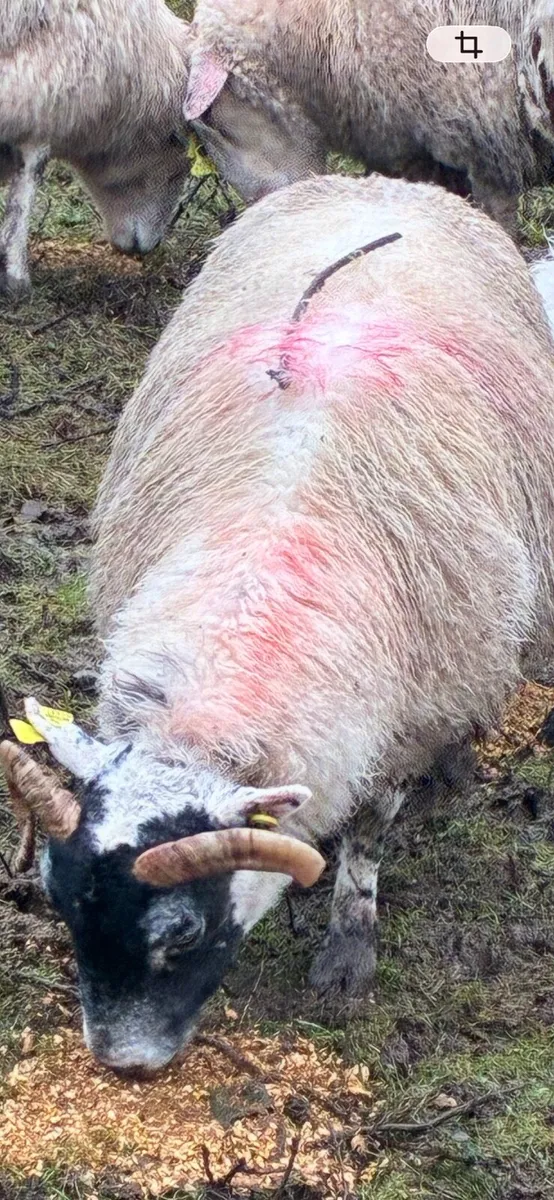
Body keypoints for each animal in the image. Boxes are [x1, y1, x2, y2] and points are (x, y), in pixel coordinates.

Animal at [3, 173, 554, 1073]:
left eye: (184, 935)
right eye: (62, 903)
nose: (122, 1064)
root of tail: (385, 184)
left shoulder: (400, 718)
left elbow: (367, 834)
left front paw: (347, 952)